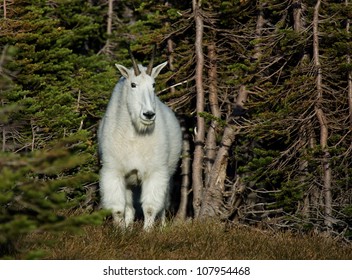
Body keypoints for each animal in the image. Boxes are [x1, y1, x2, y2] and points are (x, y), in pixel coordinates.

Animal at [98, 51, 182, 231]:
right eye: (133, 84)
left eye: (154, 84)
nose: (148, 114)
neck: (135, 135)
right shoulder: (114, 171)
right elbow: (118, 208)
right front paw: (120, 231)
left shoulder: (155, 172)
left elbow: (150, 207)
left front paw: (147, 232)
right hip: (130, 182)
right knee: (129, 206)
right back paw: (129, 227)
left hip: (169, 174)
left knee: (163, 206)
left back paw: (162, 226)